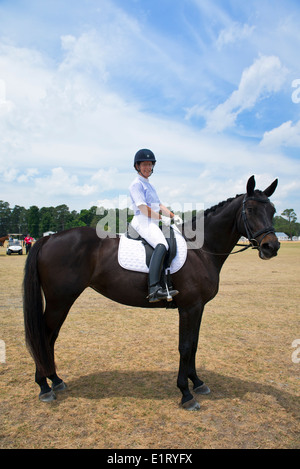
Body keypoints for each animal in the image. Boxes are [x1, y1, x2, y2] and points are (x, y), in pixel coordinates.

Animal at [22, 174, 278, 408]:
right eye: (251, 210)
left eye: (273, 210)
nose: (271, 247)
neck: (201, 250)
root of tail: (49, 239)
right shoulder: (189, 308)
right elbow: (185, 347)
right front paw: (186, 393)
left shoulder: (198, 307)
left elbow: (194, 345)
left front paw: (197, 382)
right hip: (60, 300)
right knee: (44, 336)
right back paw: (44, 386)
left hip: (62, 301)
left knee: (50, 337)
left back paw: (55, 380)